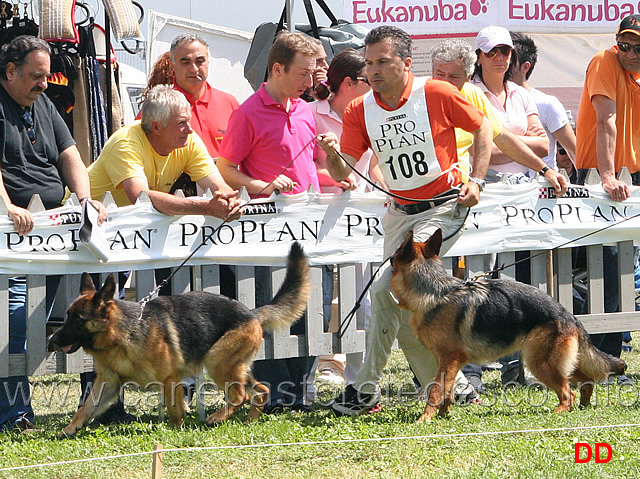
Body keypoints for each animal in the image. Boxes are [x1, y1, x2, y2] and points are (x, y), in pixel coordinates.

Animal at [49, 244, 310, 438]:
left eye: (78, 319)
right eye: (68, 315)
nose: (53, 338)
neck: (121, 336)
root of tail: (252, 313)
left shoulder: (170, 380)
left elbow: (175, 409)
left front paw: (175, 430)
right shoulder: (108, 383)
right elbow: (85, 408)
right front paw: (69, 430)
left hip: (217, 362)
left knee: (240, 396)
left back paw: (218, 417)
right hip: (234, 367)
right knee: (261, 390)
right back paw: (249, 421)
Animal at [390, 231, 624, 422]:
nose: (387, 258)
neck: (436, 291)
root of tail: (569, 315)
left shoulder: (449, 358)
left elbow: (437, 390)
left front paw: (425, 418)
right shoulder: (446, 361)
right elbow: (446, 389)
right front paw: (443, 414)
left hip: (540, 362)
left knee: (569, 392)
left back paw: (559, 412)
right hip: (561, 361)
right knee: (587, 381)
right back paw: (583, 408)